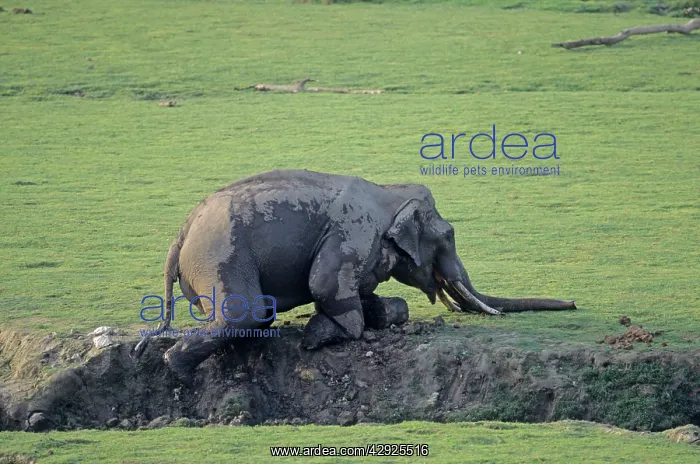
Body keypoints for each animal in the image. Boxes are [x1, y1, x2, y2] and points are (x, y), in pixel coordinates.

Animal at [133, 169, 575, 386]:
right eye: (449, 236)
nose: (573, 303)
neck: (389, 193)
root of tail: (180, 236)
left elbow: (363, 295)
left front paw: (383, 312)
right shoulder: (353, 233)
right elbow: (325, 287)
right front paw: (316, 336)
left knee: (256, 318)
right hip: (219, 254)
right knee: (249, 314)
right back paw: (181, 374)